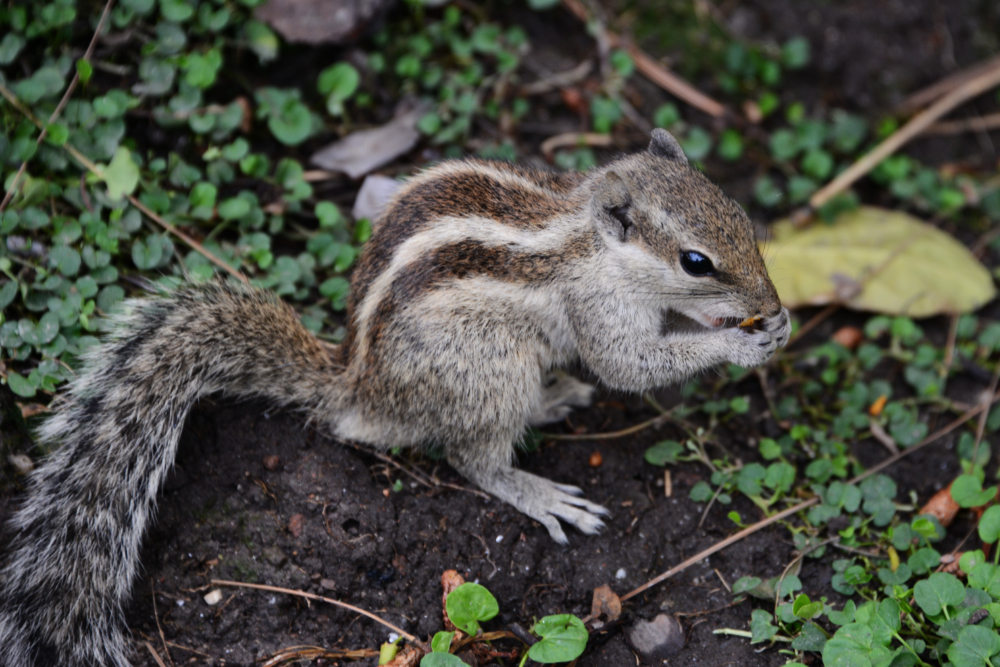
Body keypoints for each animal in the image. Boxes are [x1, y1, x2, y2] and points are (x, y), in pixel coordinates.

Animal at [0, 129, 790, 667]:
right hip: (490, 366)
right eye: (696, 261)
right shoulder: (601, 311)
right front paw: (737, 343)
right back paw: (539, 488)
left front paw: (756, 325)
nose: (770, 303)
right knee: (475, 460)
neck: (589, 240)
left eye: (742, 217)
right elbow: (629, 365)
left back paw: (556, 397)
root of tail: (357, 386)